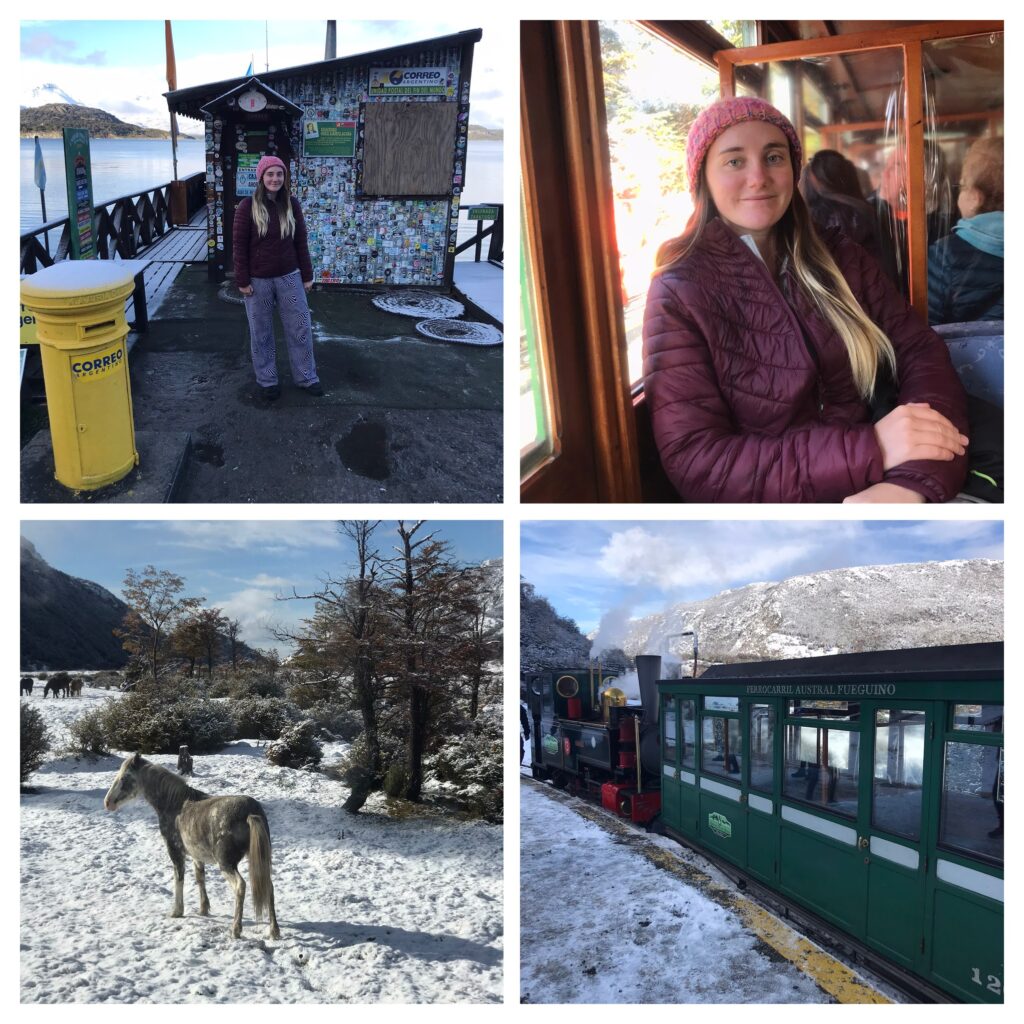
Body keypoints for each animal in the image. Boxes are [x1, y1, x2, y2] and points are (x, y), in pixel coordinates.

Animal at [103, 749, 280, 937]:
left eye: (124, 777)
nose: (108, 803)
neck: (175, 805)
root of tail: (251, 813)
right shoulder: (197, 855)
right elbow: (200, 878)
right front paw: (203, 909)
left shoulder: (175, 852)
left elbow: (179, 879)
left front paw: (177, 911)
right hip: (259, 860)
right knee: (269, 886)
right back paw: (274, 930)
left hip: (226, 864)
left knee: (241, 886)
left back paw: (236, 929)